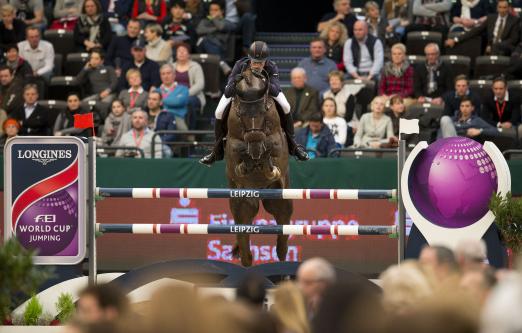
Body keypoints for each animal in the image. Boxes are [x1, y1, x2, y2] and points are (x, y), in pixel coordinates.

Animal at [225, 66, 292, 266]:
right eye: (240, 114)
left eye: (264, 111)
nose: (255, 147)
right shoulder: (234, 145)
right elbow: (238, 155)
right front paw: (249, 162)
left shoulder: (276, 141)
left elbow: (272, 151)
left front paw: (268, 166)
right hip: (242, 206)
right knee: (244, 244)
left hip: (281, 202)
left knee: (282, 238)